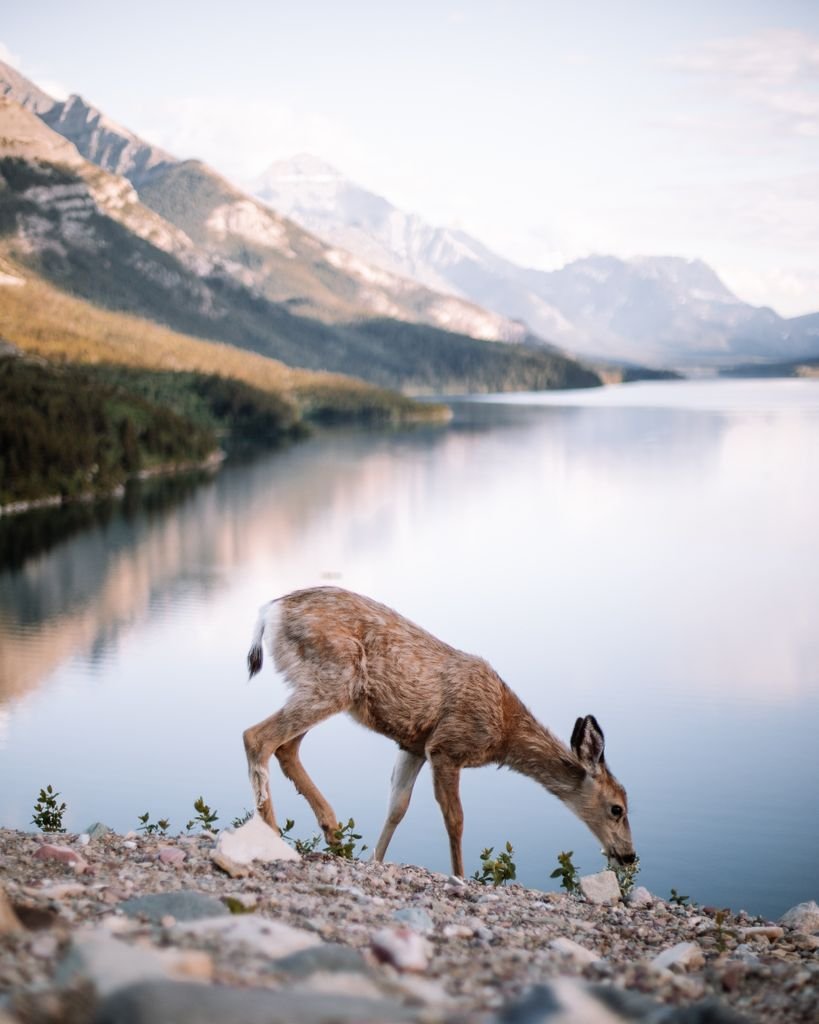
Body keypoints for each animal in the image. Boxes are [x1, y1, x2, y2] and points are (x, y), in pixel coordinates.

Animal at [243, 586, 635, 875]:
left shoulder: (414, 745)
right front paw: (459, 876)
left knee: (286, 747)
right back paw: (276, 835)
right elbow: (455, 819)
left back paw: (334, 833)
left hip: (319, 687)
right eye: (617, 808)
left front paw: (375, 860)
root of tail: (268, 612)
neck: (503, 732)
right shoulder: (448, 746)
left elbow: (397, 807)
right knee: (258, 737)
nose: (630, 856)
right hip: (333, 681)